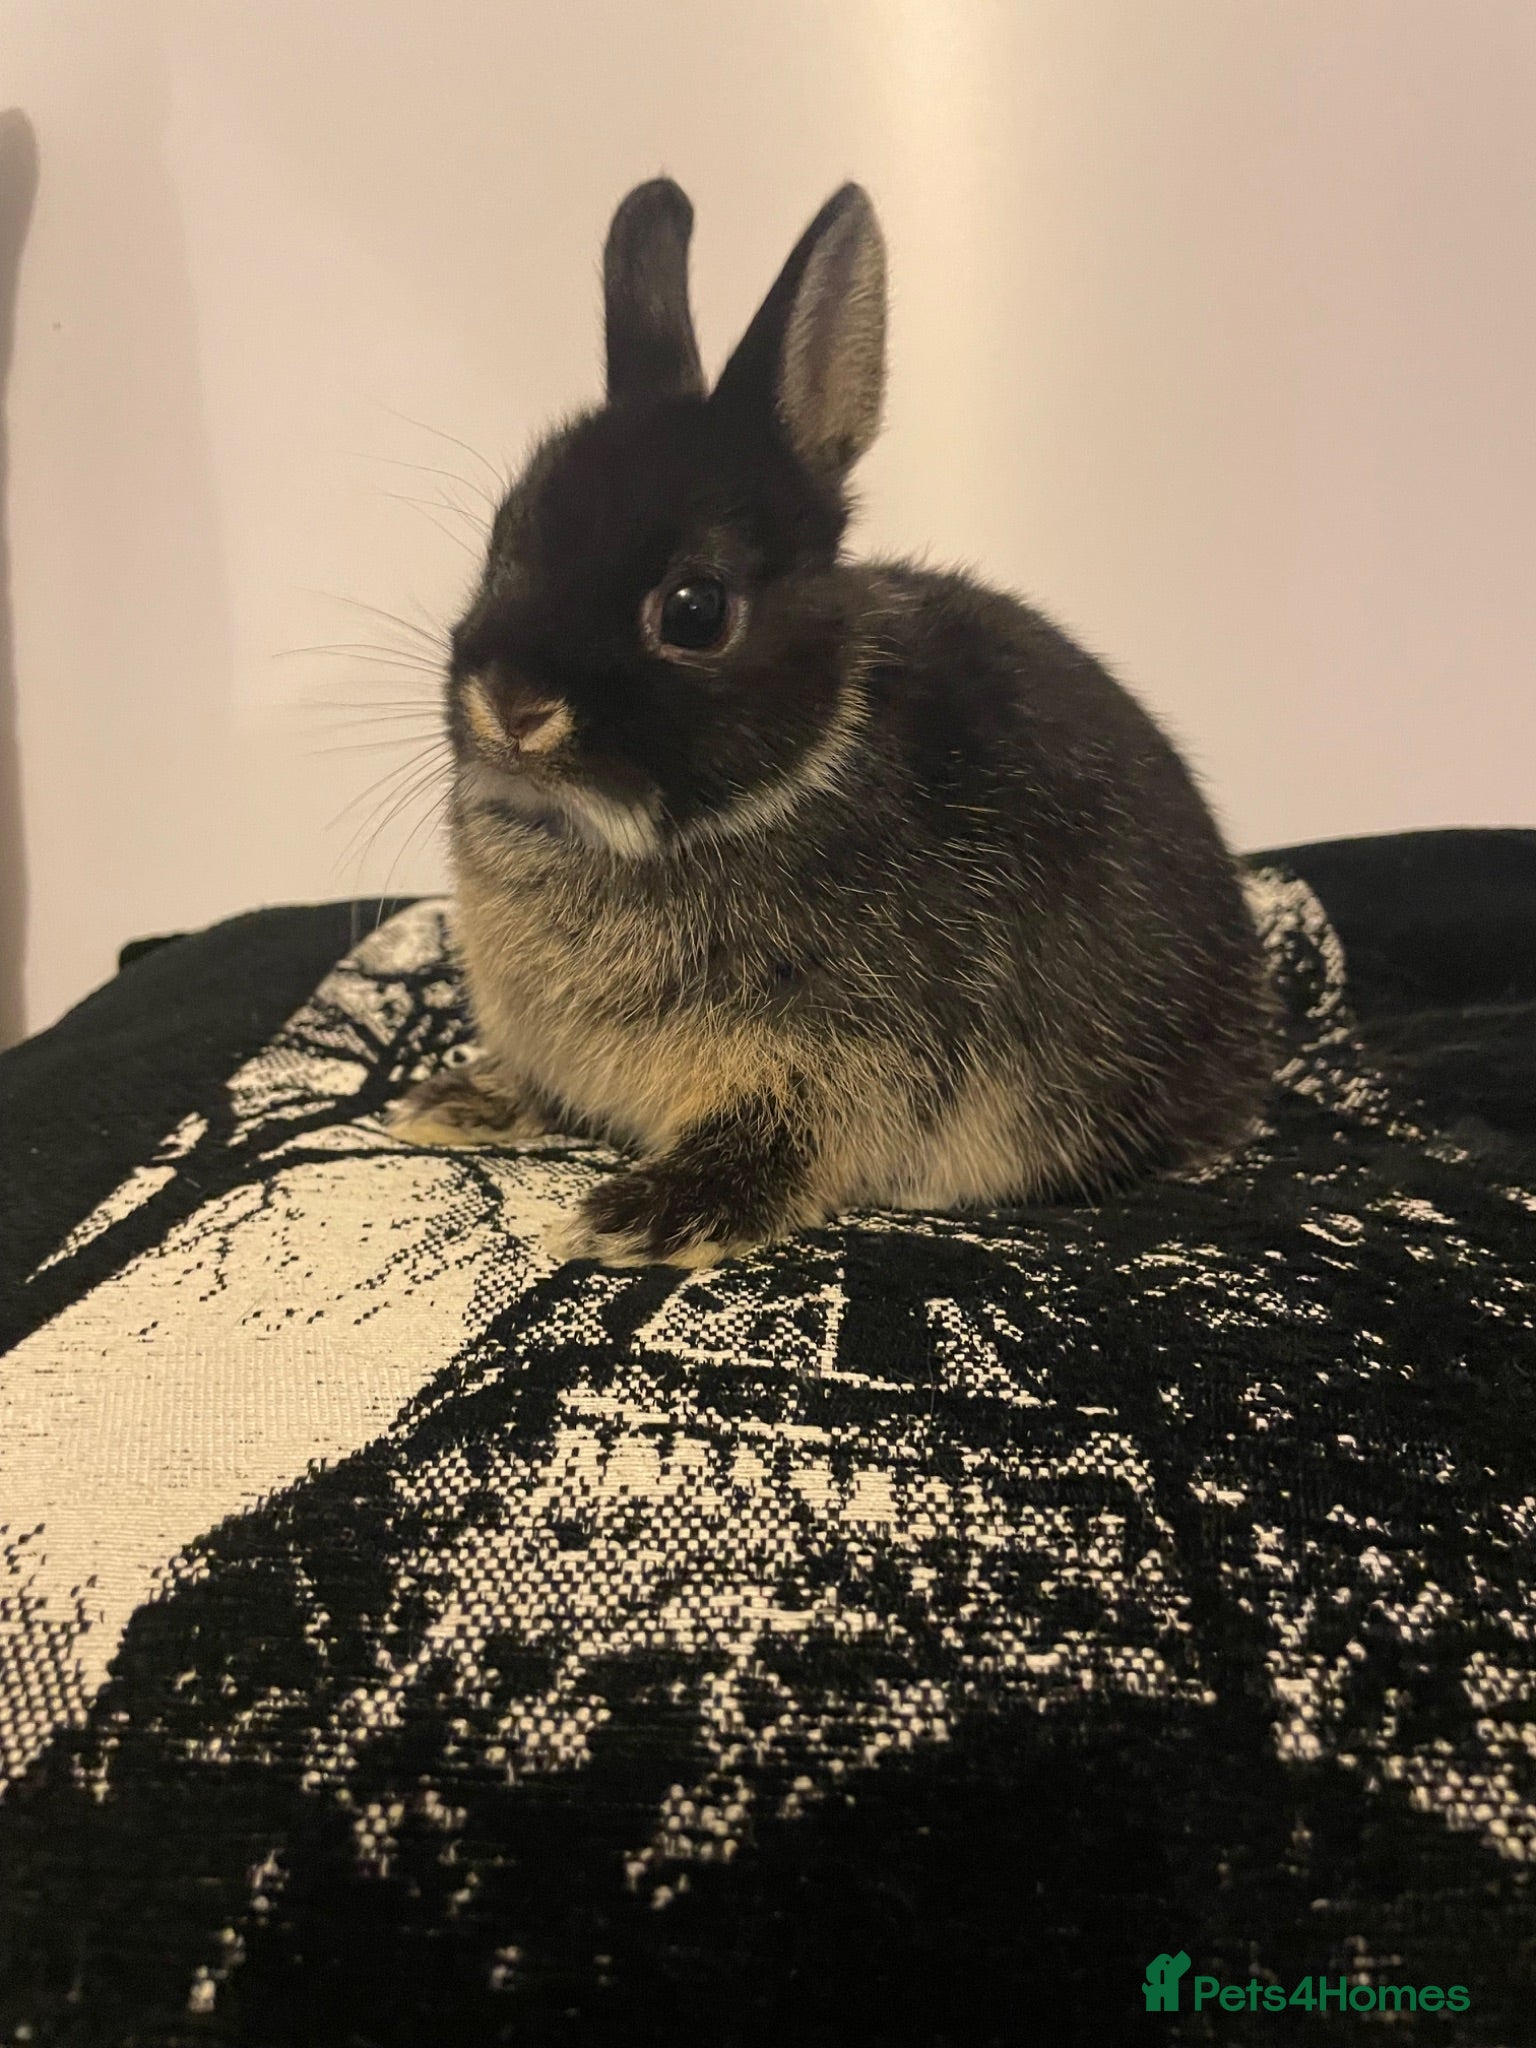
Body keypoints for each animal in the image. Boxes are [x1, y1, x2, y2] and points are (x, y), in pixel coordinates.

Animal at [385, 178, 1277, 1269]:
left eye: (695, 610)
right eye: (504, 540)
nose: (512, 705)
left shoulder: (846, 1052)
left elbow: (782, 1133)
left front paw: (638, 1217)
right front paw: (450, 1102)